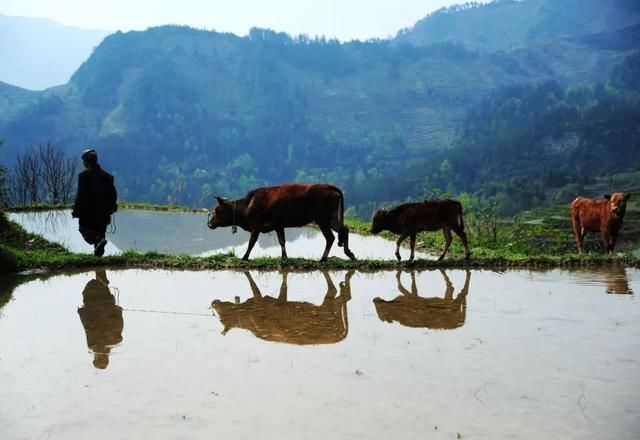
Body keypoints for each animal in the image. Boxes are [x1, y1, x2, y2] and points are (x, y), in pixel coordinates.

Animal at [208, 183, 356, 262]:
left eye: (218, 210)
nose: (209, 223)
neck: (247, 206)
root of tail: (329, 186)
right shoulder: (278, 225)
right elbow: (282, 241)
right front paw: (284, 257)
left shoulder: (256, 226)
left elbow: (251, 243)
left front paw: (244, 257)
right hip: (331, 218)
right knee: (344, 230)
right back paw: (349, 253)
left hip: (322, 219)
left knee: (330, 237)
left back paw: (323, 259)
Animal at [214, 270, 356, 346]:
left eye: (222, 318)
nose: (213, 303)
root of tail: (338, 337)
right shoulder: (279, 301)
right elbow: (283, 287)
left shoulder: (260, 300)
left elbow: (253, 284)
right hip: (331, 307)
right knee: (341, 296)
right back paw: (343, 284)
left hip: (329, 308)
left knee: (340, 294)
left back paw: (345, 281)